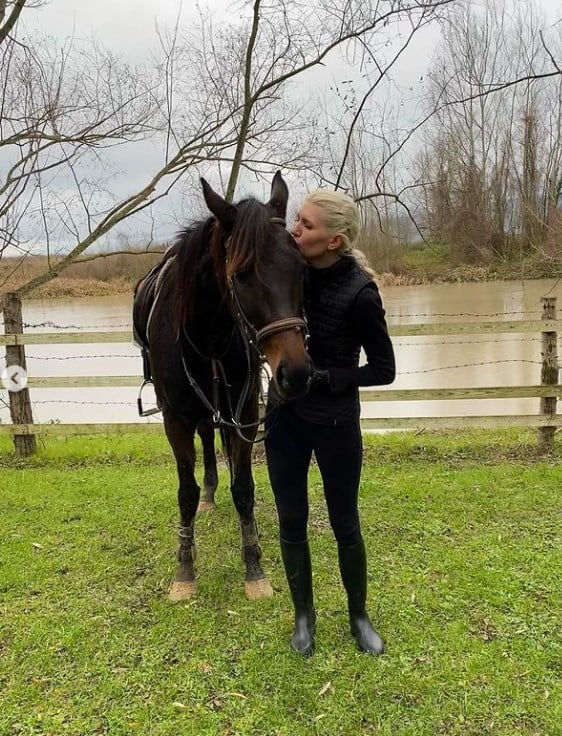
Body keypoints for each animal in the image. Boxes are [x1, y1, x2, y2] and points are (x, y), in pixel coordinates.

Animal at [134, 175, 312, 600]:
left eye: (301, 267)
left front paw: (254, 568)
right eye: (241, 274)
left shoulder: (244, 412)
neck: (208, 337)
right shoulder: (175, 420)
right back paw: (210, 495)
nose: (296, 373)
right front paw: (185, 571)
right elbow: (185, 492)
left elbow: (244, 488)